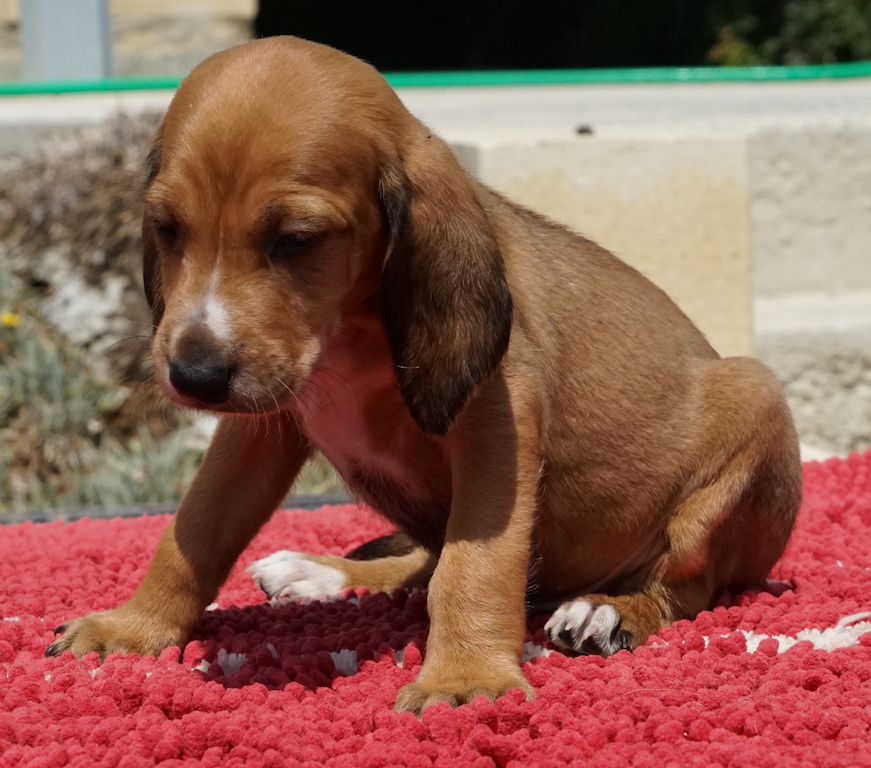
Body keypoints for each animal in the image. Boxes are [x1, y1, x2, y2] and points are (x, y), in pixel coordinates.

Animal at [51, 36, 804, 716]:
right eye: (167, 227)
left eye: (296, 240)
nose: (196, 376)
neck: (347, 338)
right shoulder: (260, 429)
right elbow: (195, 529)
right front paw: (134, 627)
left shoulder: (495, 431)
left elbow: (475, 567)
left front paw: (465, 677)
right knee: (419, 562)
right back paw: (320, 572)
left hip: (752, 407)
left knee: (687, 587)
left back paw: (608, 611)